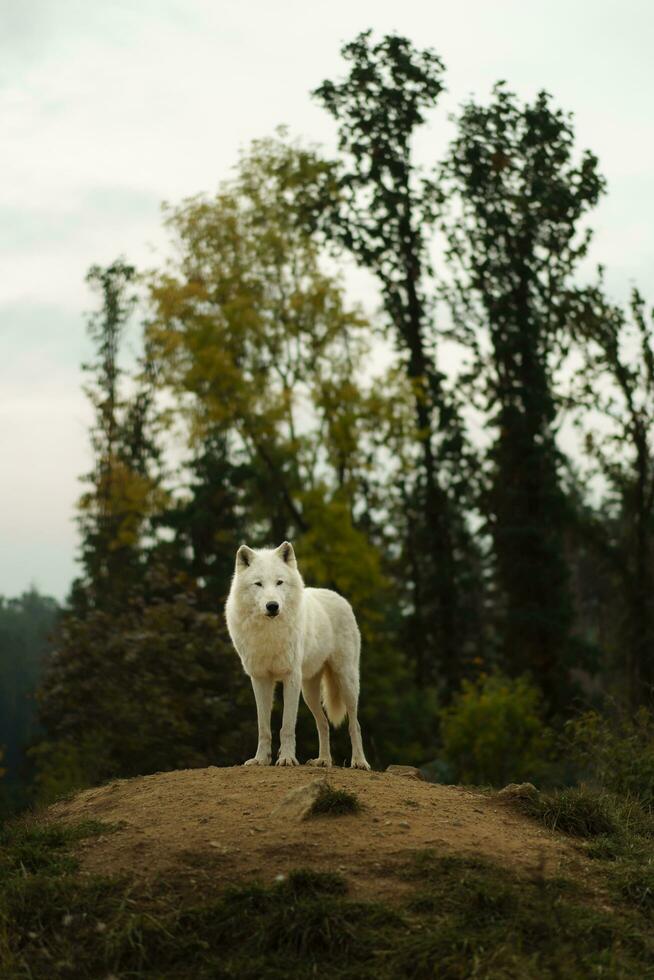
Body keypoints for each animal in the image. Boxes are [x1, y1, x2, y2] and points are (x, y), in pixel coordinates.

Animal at [226, 540, 372, 768]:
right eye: (258, 584)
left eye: (279, 582)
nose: (272, 606)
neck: (270, 632)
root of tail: (339, 597)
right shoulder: (260, 679)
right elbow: (263, 727)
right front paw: (260, 759)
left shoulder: (290, 677)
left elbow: (286, 726)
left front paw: (286, 758)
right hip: (309, 692)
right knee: (323, 723)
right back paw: (323, 760)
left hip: (346, 681)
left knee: (354, 724)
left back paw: (359, 762)